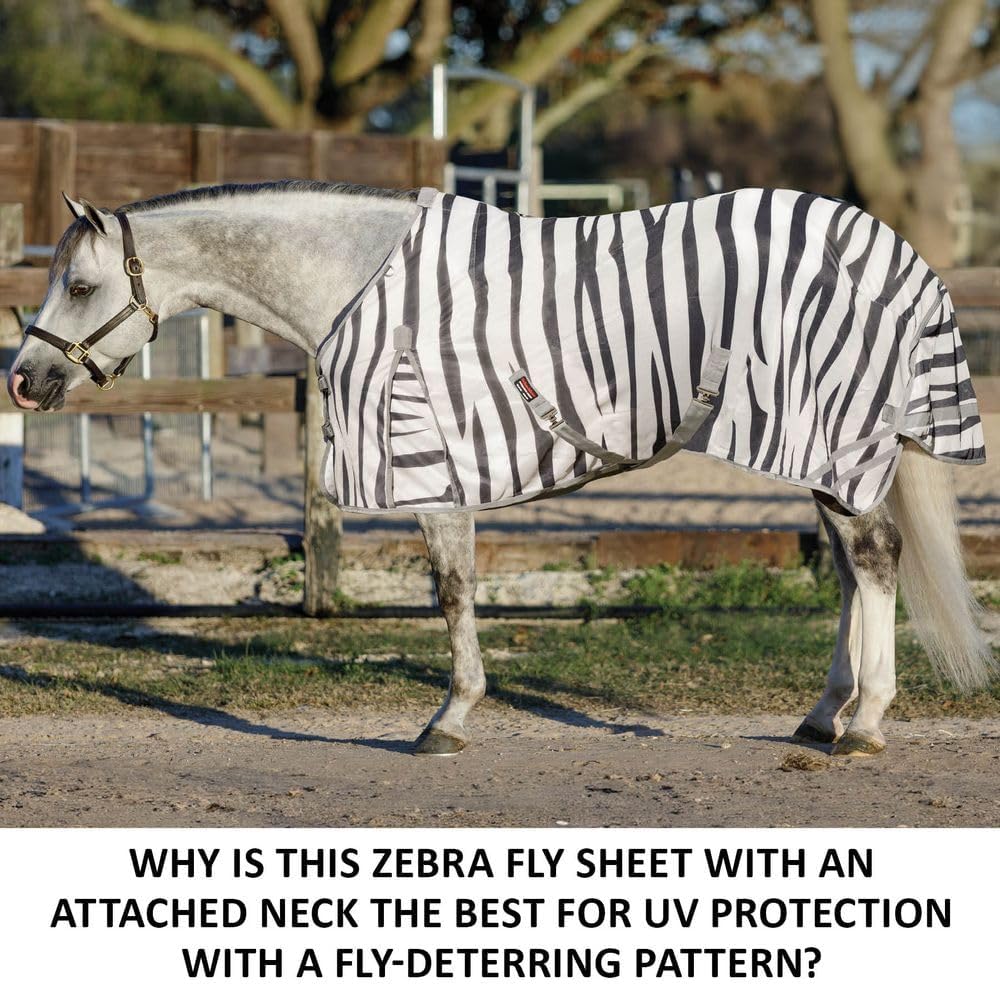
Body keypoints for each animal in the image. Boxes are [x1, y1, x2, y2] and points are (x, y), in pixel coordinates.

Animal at [7, 181, 993, 757]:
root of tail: (891, 249)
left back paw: (865, 725)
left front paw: (449, 719)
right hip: (816, 448)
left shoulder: (432, 466)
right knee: (851, 569)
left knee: (874, 560)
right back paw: (825, 714)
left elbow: (452, 593)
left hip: (834, 438)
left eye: (82, 287)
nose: (22, 378)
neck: (360, 284)